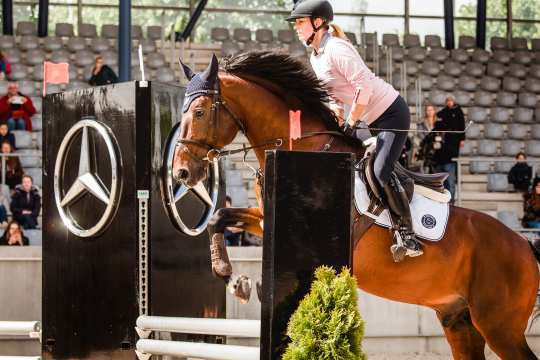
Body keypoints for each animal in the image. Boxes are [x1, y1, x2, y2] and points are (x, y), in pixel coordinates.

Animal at [173, 51, 540, 360]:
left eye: (200, 112)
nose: (181, 173)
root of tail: (524, 245)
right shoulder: (264, 220)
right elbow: (219, 217)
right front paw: (233, 278)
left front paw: (240, 280)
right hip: (459, 320)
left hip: (499, 326)